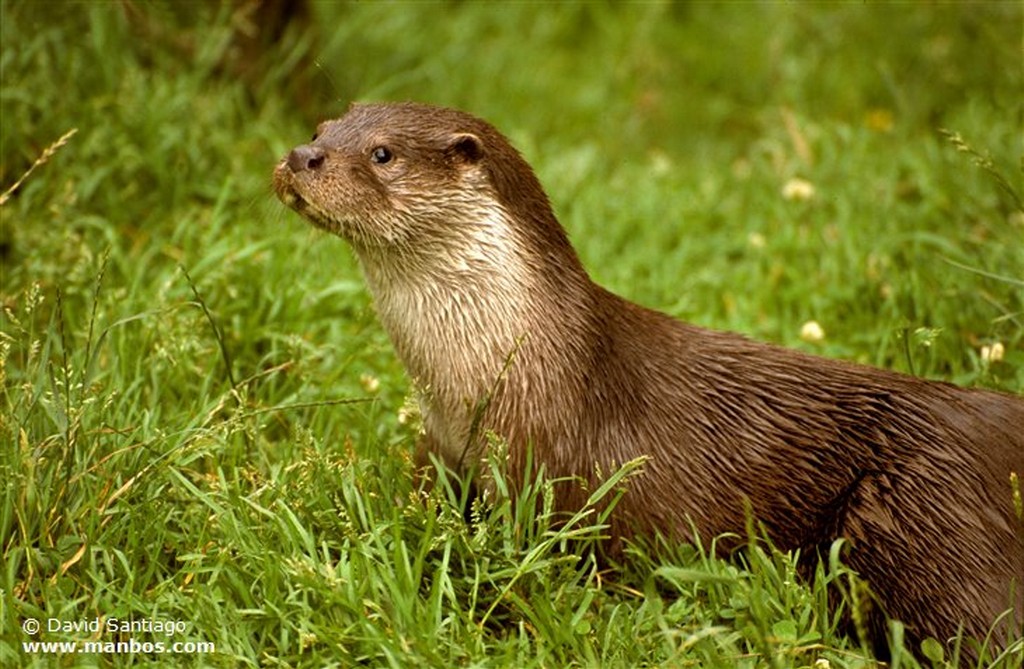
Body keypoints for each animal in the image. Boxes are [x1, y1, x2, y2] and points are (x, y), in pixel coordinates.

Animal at [274, 101, 1024, 655]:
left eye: (382, 153)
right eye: (318, 129)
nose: (301, 158)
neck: (513, 370)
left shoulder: (549, 478)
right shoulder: (442, 450)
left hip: (925, 513)